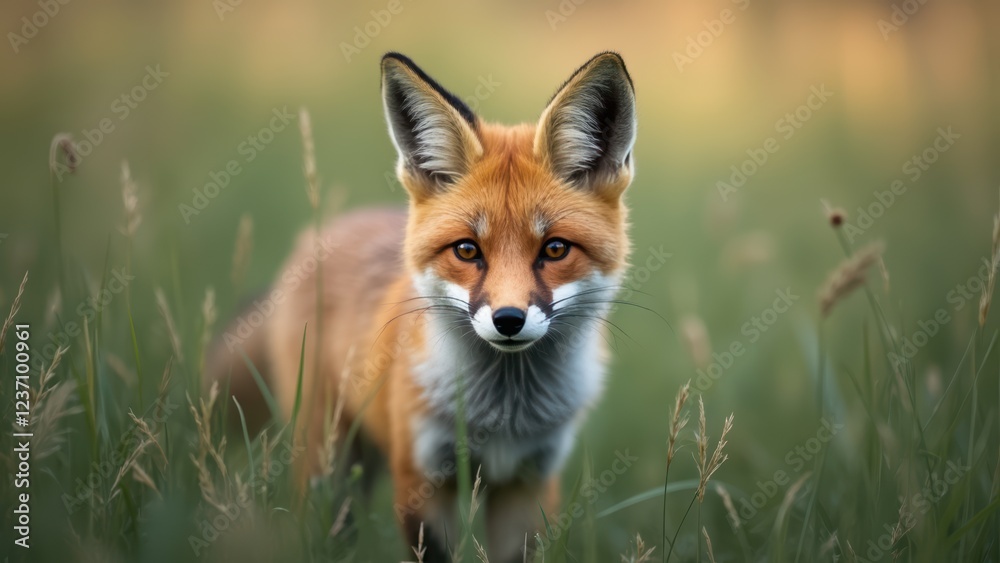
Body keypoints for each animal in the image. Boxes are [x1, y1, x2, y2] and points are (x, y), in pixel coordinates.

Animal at [208, 51, 637, 562]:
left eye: (554, 249)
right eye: (467, 250)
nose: (508, 320)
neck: (504, 416)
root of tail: (326, 230)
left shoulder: (529, 481)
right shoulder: (421, 477)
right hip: (328, 459)